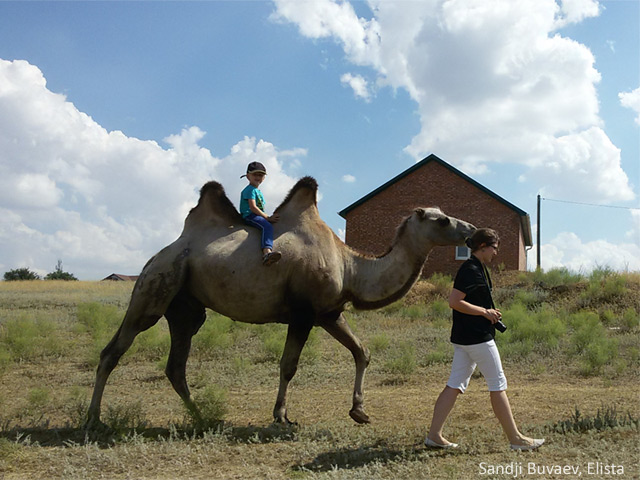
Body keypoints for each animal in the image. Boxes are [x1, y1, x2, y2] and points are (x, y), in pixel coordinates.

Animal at [86, 177, 476, 428]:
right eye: (442, 220)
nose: (472, 229)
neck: (351, 267)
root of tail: (158, 255)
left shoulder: (329, 313)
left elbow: (361, 352)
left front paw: (360, 412)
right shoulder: (303, 313)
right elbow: (288, 365)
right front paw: (282, 417)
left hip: (186, 309)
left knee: (175, 365)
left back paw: (203, 418)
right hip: (154, 288)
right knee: (113, 350)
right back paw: (93, 420)